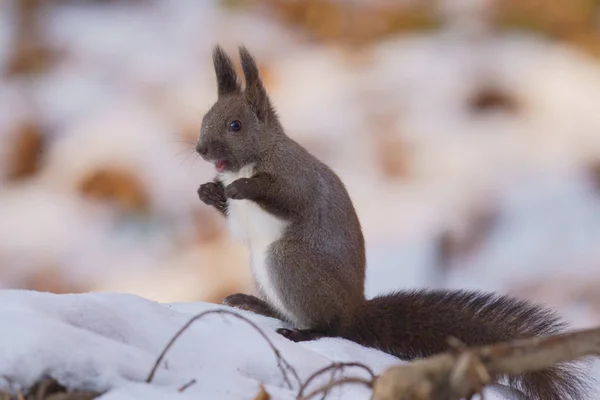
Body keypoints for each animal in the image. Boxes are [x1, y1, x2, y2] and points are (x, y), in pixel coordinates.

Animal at [197, 44, 592, 400]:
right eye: (205, 118)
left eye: (235, 125)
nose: (200, 149)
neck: (256, 157)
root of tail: (355, 309)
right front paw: (208, 192)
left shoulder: (296, 179)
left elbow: (286, 198)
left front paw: (243, 187)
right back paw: (256, 304)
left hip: (289, 261)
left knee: (331, 326)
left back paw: (305, 332)